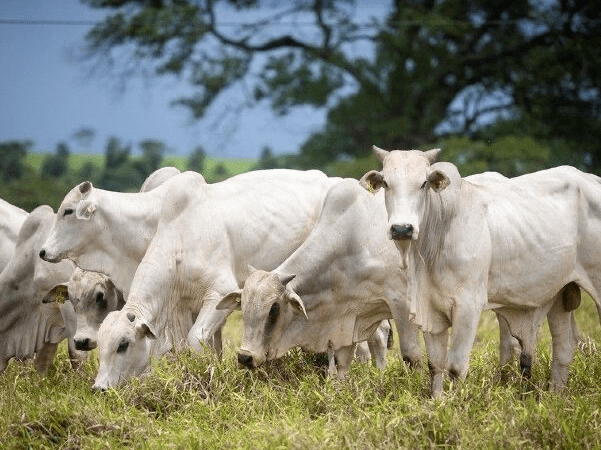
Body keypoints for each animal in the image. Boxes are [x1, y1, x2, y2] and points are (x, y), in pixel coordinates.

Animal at [41, 169, 342, 390]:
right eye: (102, 345)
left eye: (68, 211)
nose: (100, 388)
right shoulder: (181, 306)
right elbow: (179, 347)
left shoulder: (220, 293)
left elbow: (196, 341)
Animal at [218, 178, 420, 378]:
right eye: (242, 305)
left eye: (274, 309)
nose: (245, 357)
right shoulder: (349, 316)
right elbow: (342, 361)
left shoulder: (400, 302)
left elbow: (411, 355)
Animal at [360, 146, 600, 396]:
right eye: (386, 183)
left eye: (424, 182)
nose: (402, 229)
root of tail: (592, 180)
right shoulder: (431, 308)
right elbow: (435, 364)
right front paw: (437, 400)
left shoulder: (469, 305)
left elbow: (455, 367)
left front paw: (455, 401)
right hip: (560, 293)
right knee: (563, 347)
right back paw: (556, 394)